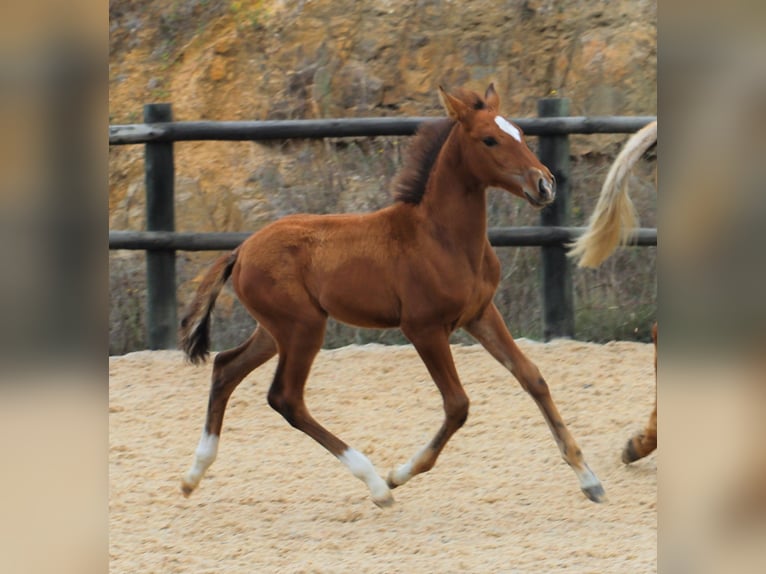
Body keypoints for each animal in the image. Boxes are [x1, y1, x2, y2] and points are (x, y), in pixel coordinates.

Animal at [178, 83, 608, 506]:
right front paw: (400, 474)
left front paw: (589, 479)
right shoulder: (423, 328)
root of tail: (241, 250)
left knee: (226, 368)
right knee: (286, 397)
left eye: (518, 131)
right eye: (489, 139)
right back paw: (375, 484)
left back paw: (193, 474)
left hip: (275, 330)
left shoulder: (480, 314)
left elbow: (532, 377)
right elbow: (458, 405)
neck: (442, 238)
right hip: (303, 327)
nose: (544, 184)